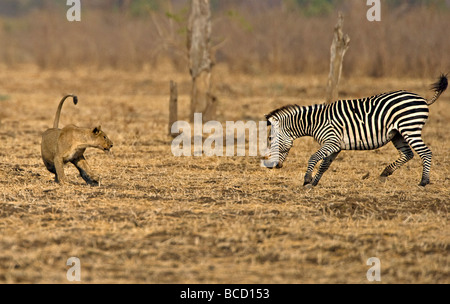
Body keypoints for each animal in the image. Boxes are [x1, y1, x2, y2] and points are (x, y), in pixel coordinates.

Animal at [264, 74, 446, 186]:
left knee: (425, 152)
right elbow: (324, 165)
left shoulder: (332, 141)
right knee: (407, 154)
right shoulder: (336, 146)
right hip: (398, 134)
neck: (315, 122)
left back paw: (424, 181)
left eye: (270, 139)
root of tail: (423, 99)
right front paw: (314, 183)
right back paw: (385, 172)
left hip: (410, 128)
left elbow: (313, 157)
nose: (273, 166)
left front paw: (307, 179)